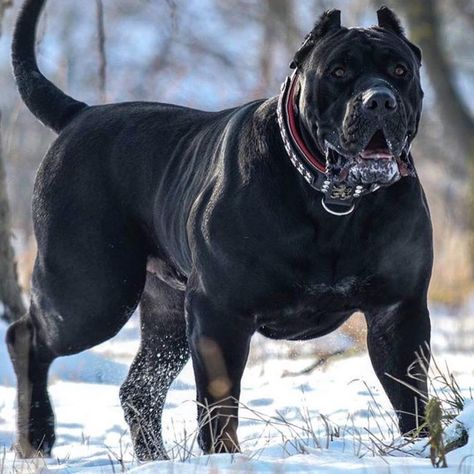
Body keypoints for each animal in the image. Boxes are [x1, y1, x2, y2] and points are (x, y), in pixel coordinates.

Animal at [5, 0, 432, 460]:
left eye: (400, 70)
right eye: (338, 71)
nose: (380, 101)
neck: (333, 200)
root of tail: (79, 114)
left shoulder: (398, 310)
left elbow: (411, 394)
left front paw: (423, 447)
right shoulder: (218, 314)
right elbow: (219, 402)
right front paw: (224, 457)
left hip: (164, 313)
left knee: (140, 388)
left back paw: (154, 461)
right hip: (92, 295)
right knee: (26, 335)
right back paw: (38, 436)